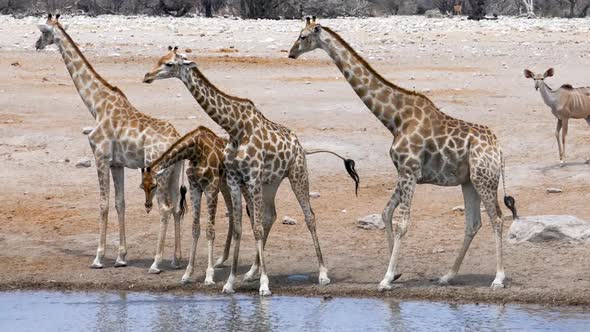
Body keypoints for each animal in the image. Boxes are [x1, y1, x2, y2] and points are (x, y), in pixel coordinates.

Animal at [34, 14, 185, 274]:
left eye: (44, 31)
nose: (36, 44)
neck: (96, 104)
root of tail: (177, 137)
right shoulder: (117, 164)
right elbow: (119, 203)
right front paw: (121, 257)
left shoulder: (101, 157)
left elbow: (103, 204)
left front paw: (98, 258)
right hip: (175, 172)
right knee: (176, 208)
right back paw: (175, 260)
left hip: (161, 172)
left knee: (165, 209)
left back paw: (156, 263)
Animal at [144, 46, 364, 296]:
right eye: (158, 59)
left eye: (169, 64)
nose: (147, 76)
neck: (235, 127)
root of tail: (301, 147)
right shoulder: (233, 180)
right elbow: (239, 228)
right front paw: (231, 282)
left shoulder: (250, 178)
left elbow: (255, 228)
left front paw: (265, 285)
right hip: (270, 183)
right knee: (270, 216)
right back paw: (251, 272)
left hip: (297, 174)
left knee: (309, 217)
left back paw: (323, 274)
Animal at [290, 16, 520, 290]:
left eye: (303, 36)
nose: (291, 53)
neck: (394, 118)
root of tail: (499, 149)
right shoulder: (404, 172)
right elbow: (385, 212)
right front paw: (396, 273)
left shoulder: (410, 171)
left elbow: (402, 223)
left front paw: (386, 279)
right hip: (469, 182)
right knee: (473, 224)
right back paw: (447, 276)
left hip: (485, 180)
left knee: (497, 219)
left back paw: (498, 278)